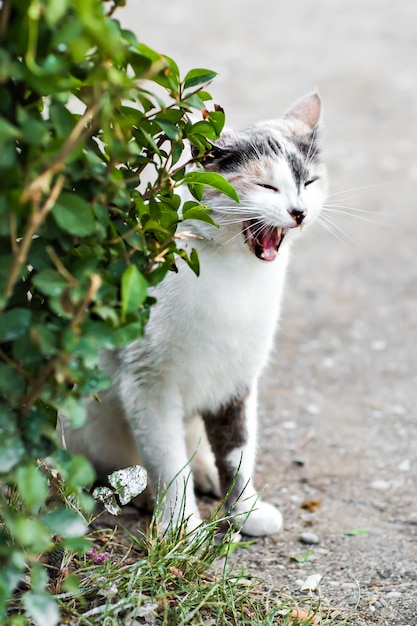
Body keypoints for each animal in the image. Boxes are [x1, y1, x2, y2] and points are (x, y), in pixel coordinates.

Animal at [61, 92, 324, 536]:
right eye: (267, 186)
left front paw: (247, 509)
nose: (299, 211)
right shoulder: (147, 385)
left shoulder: (237, 381)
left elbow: (237, 452)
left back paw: (204, 474)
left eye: (309, 183)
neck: (235, 276)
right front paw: (182, 526)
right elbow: (168, 463)